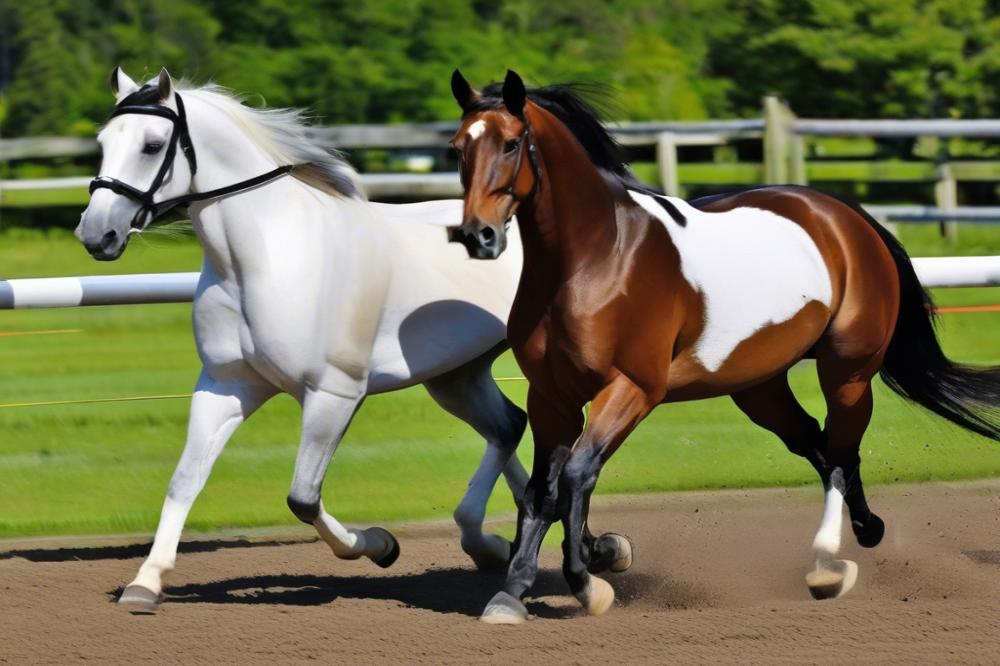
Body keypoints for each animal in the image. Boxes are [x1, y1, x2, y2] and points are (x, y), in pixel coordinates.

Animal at [76, 68, 532, 612]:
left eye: (152, 144)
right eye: (103, 143)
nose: (96, 234)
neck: (264, 257)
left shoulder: (333, 394)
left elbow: (303, 497)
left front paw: (380, 544)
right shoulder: (225, 386)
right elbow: (185, 480)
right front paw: (146, 582)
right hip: (456, 377)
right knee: (509, 428)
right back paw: (504, 547)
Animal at [450, 70, 1000, 620]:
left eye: (512, 143)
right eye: (458, 147)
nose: (478, 236)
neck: (595, 259)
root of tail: (847, 216)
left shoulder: (631, 389)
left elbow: (576, 476)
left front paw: (588, 584)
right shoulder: (551, 397)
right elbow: (542, 493)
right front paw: (513, 590)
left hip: (848, 373)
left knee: (842, 455)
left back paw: (827, 564)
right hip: (759, 386)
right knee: (819, 445)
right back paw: (865, 532)